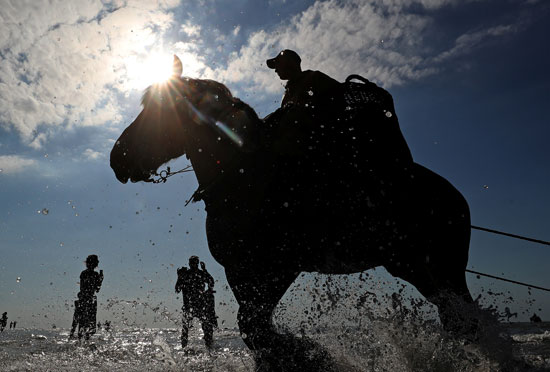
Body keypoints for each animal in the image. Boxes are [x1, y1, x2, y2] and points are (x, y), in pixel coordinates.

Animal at [111, 56, 474, 368]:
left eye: (155, 110)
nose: (117, 157)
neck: (244, 175)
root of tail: (455, 197)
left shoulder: (277, 267)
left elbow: (254, 326)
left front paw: (306, 354)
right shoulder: (240, 272)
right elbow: (253, 328)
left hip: (440, 269)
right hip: (416, 269)